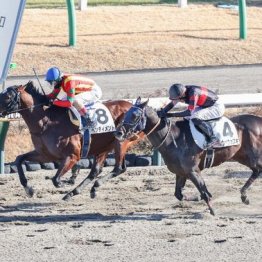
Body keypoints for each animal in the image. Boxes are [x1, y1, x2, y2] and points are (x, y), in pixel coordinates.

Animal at [0, 81, 143, 200]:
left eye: (7, 97)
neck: (46, 122)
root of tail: (135, 106)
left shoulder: (73, 156)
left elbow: (56, 179)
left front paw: (68, 180)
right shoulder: (45, 154)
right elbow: (19, 159)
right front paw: (28, 188)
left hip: (121, 141)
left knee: (117, 168)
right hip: (105, 146)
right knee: (99, 170)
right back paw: (80, 191)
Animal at [115, 97, 262, 216]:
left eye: (135, 115)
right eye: (125, 114)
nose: (118, 132)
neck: (173, 138)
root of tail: (259, 120)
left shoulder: (192, 170)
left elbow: (204, 192)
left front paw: (212, 210)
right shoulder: (181, 172)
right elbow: (178, 194)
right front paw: (197, 198)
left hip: (253, 156)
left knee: (258, 169)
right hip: (242, 156)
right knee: (256, 171)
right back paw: (244, 196)